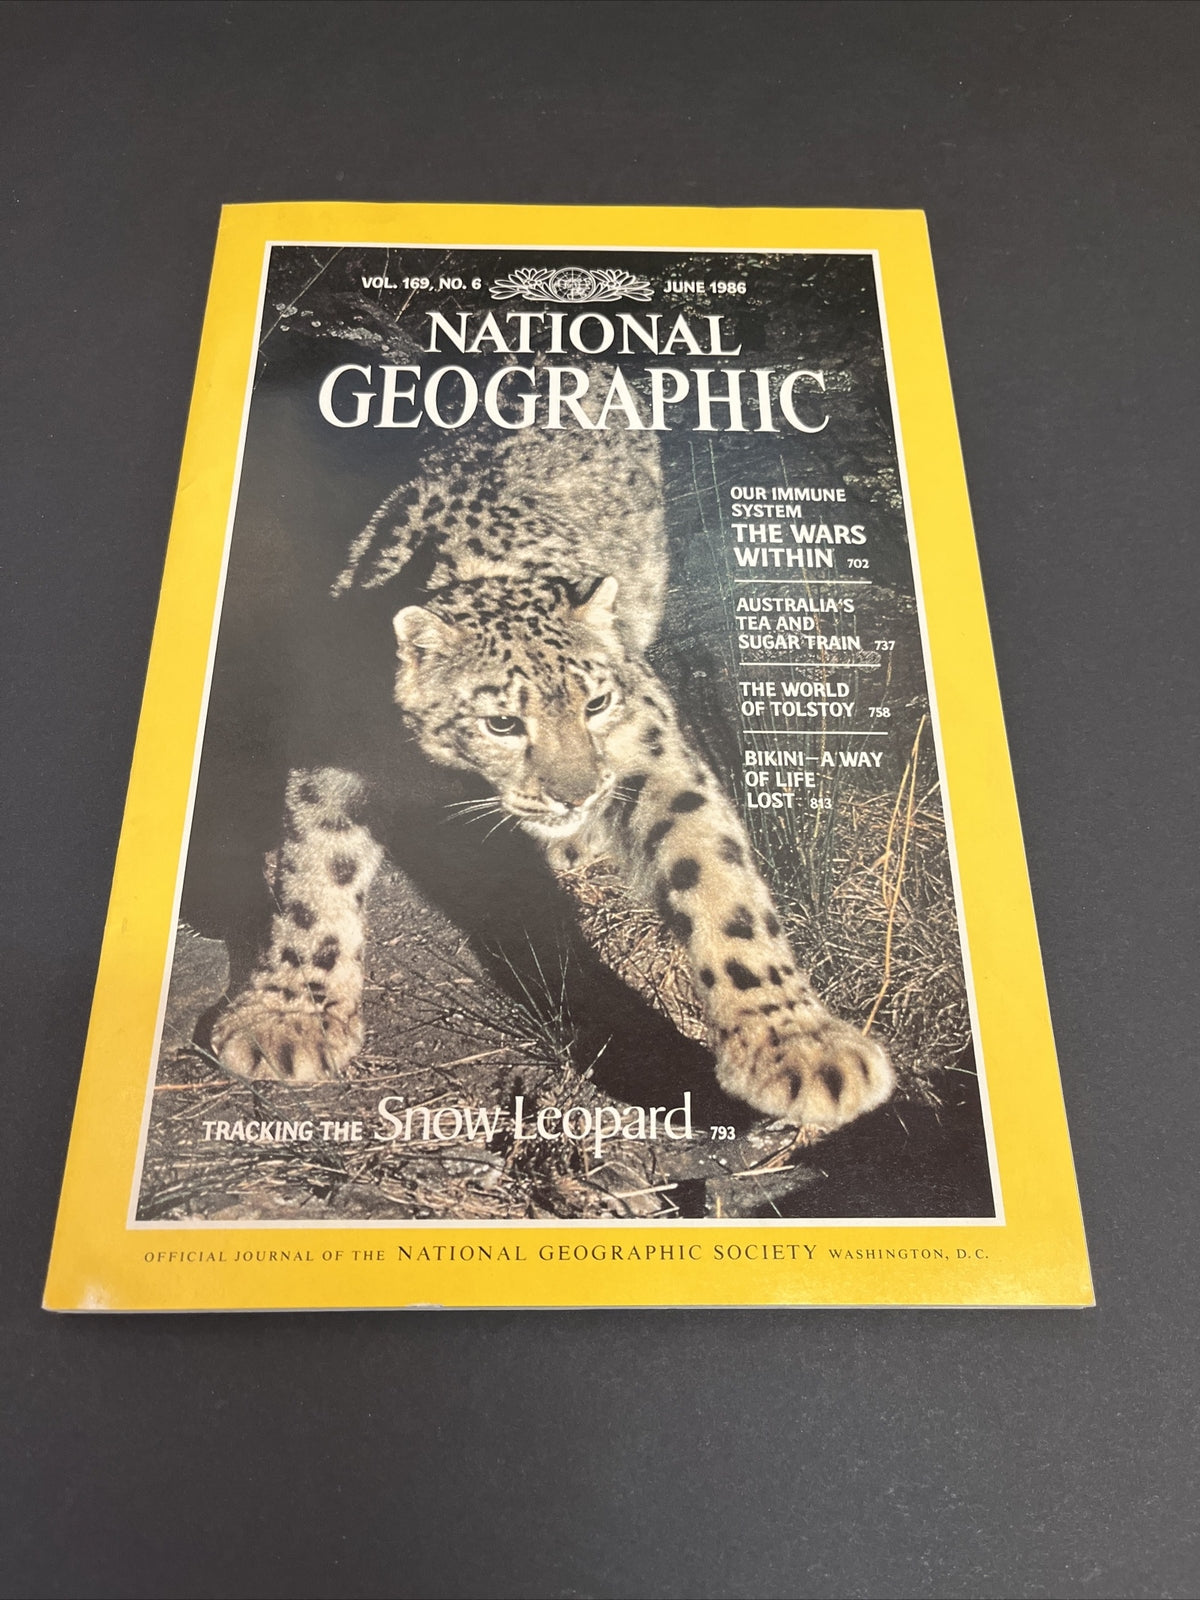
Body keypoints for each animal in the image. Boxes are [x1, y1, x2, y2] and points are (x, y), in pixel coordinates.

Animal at [209, 419, 895, 1131]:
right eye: (502, 723)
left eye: (596, 703)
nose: (578, 794)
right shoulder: (335, 748)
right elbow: (316, 872)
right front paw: (289, 1016)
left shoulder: (649, 749)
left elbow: (717, 878)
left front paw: (799, 1045)